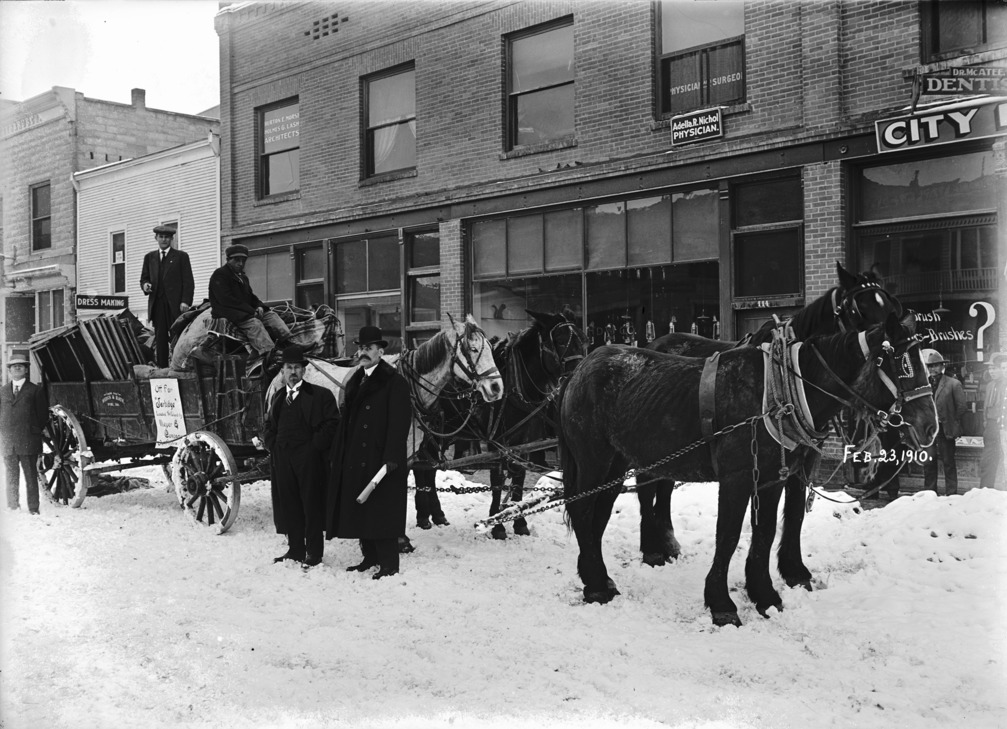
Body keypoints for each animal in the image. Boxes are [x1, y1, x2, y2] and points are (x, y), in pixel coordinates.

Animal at [410, 310, 588, 538]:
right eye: (560, 340)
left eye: (582, 340)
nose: (579, 377)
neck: (515, 386)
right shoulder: (496, 442)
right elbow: (497, 481)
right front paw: (497, 525)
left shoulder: (523, 440)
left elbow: (519, 478)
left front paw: (519, 522)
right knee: (422, 469)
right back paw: (424, 516)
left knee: (428, 470)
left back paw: (437, 515)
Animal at [558, 311, 937, 626]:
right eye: (901, 364)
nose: (930, 426)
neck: (779, 392)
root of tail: (579, 368)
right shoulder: (737, 476)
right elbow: (727, 536)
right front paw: (722, 604)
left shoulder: (771, 478)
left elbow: (766, 532)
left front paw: (765, 595)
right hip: (593, 458)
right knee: (583, 509)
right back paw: (598, 584)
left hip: (616, 461)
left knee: (599, 513)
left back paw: (599, 575)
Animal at [635, 262, 902, 584]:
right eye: (856, 309)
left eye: (890, 303)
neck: (793, 370)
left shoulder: (805, 457)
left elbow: (795, 511)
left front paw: (794, 571)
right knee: (646, 489)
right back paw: (652, 550)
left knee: (663, 486)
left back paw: (668, 543)